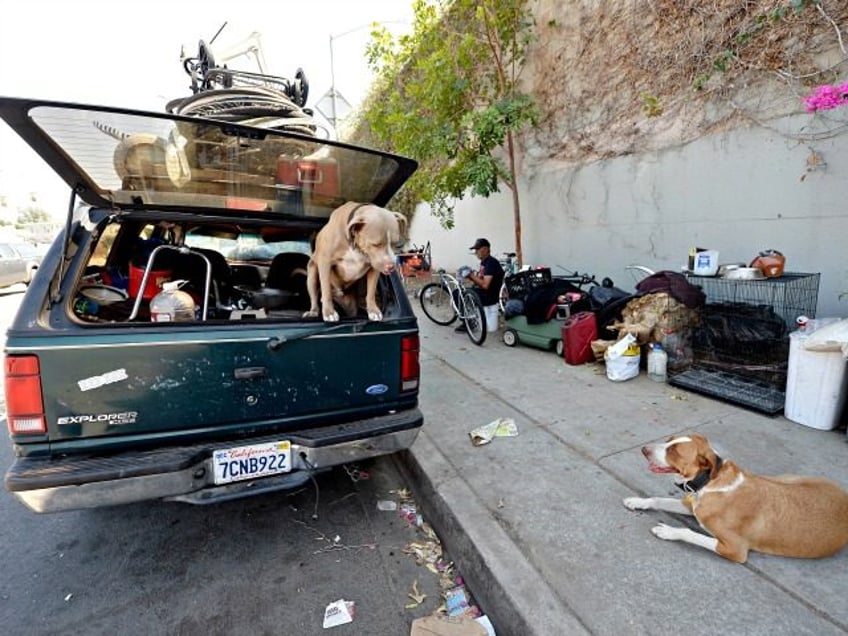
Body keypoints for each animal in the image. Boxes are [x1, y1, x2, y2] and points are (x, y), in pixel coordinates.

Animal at [620, 432, 848, 560]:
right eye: (668, 441)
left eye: (674, 450)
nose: (644, 449)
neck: (709, 482)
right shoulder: (690, 505)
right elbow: (657, 499)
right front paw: (638, 501)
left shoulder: (735, 549)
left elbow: (689, 533)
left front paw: (668, 531)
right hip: (787, 479)